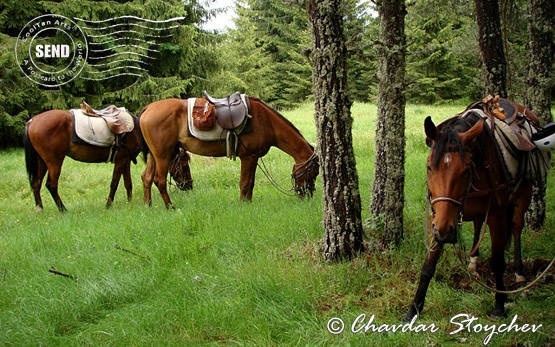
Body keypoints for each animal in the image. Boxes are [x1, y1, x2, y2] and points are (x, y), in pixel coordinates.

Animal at [23, 109, 193, 212]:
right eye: (185, 165)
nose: (189, 186)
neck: (135, 131)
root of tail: (31, 122)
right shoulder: (121, 160)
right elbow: (114, 183)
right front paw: (109, 205)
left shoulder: (125, 160)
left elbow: (128, 183)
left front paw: (130, 202)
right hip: (54, 161)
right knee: (51, 185)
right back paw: (63, 209)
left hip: (42, 162)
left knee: (36, 183)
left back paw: (40, 209)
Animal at [139, 94, 320, 209]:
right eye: (314, 172)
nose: (308, 194)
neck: (266, 122)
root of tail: (147, 108)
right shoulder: (248, 157)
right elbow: (245, 183)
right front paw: (243, 205)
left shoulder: (253, 158)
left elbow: (250, 183)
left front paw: (248, 203)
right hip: (163, 155)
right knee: (159, 181)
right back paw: (170, 206)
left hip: (155, 156)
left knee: (146, 177)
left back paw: (148, 206)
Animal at [404, 98, 548, 320]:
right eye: (429, 167)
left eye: (465, 169)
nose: (444, 231)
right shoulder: (439, 219)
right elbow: (428, 265)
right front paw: (414, 308)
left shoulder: (496, 215)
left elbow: (497, 261)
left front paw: (499, 306)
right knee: (479, 225)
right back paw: (473, 263)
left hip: (524, 193)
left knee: (516, 227)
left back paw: (519, 271)